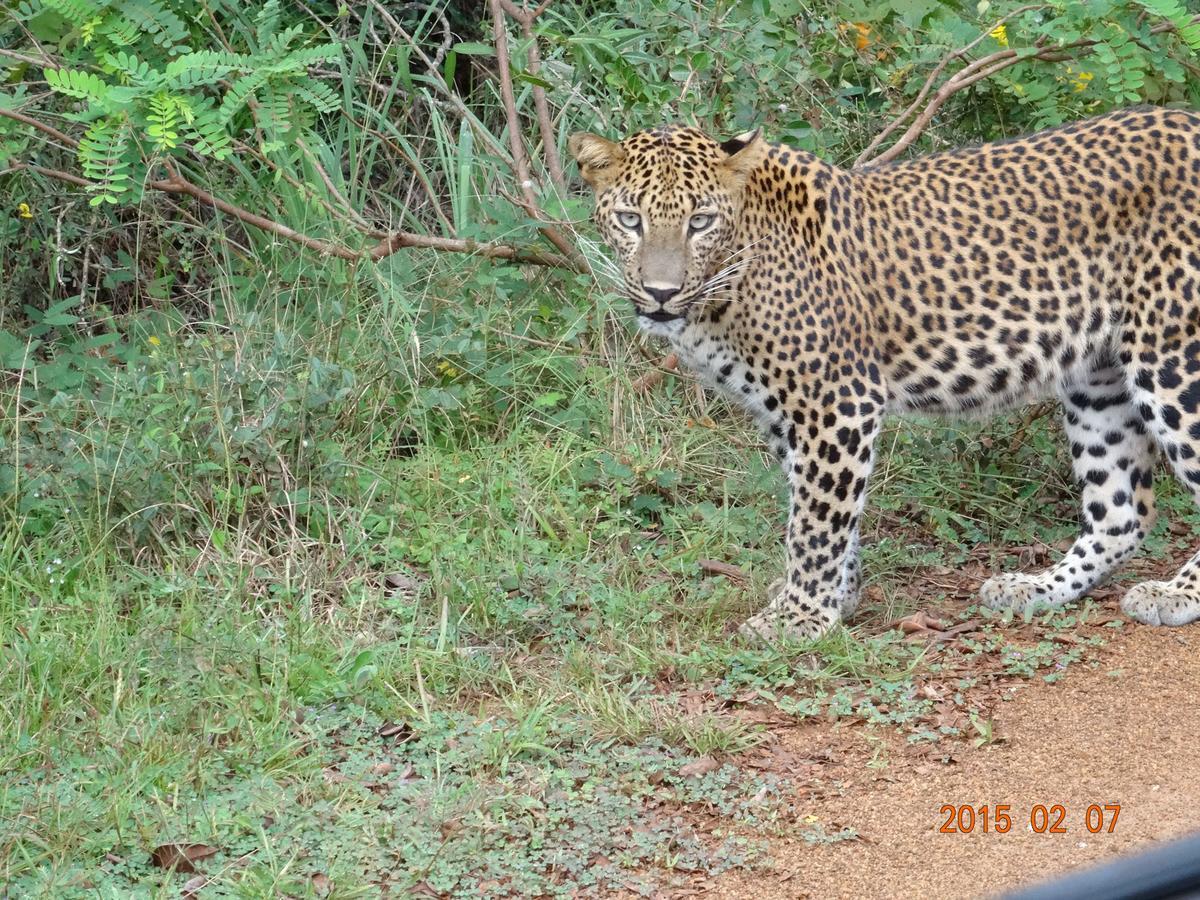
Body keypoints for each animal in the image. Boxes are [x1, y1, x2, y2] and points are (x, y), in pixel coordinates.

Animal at [566, 105, 1200, 643]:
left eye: (699, 222)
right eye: (630, 219)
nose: (660, 292)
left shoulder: (836, 399)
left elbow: (817, 521)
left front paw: (799, 617)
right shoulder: (786, 413)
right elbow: (819, 507)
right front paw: (835, 599)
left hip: (1173, 359)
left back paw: (1177, 594)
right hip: (1098, 377)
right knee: (1122, 514)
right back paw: (1036, 587)